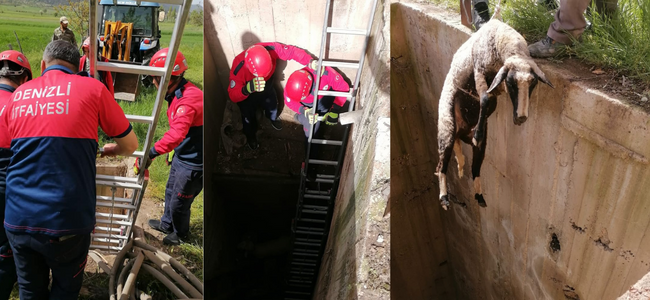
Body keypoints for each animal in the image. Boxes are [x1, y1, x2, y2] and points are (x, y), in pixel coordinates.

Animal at [432, 17, 556, 210]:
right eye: (511, 83)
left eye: (533, 84)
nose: (521, 117)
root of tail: (460, 134)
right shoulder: (479, 71)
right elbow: (484, 99)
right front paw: (478, 133)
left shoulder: (496, 86)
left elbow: (488, 99)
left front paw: (478, 132)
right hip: (447, 126)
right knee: (440, 166)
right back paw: (444, 198)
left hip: (479, 148)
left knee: (475, 168)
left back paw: (480, 197)